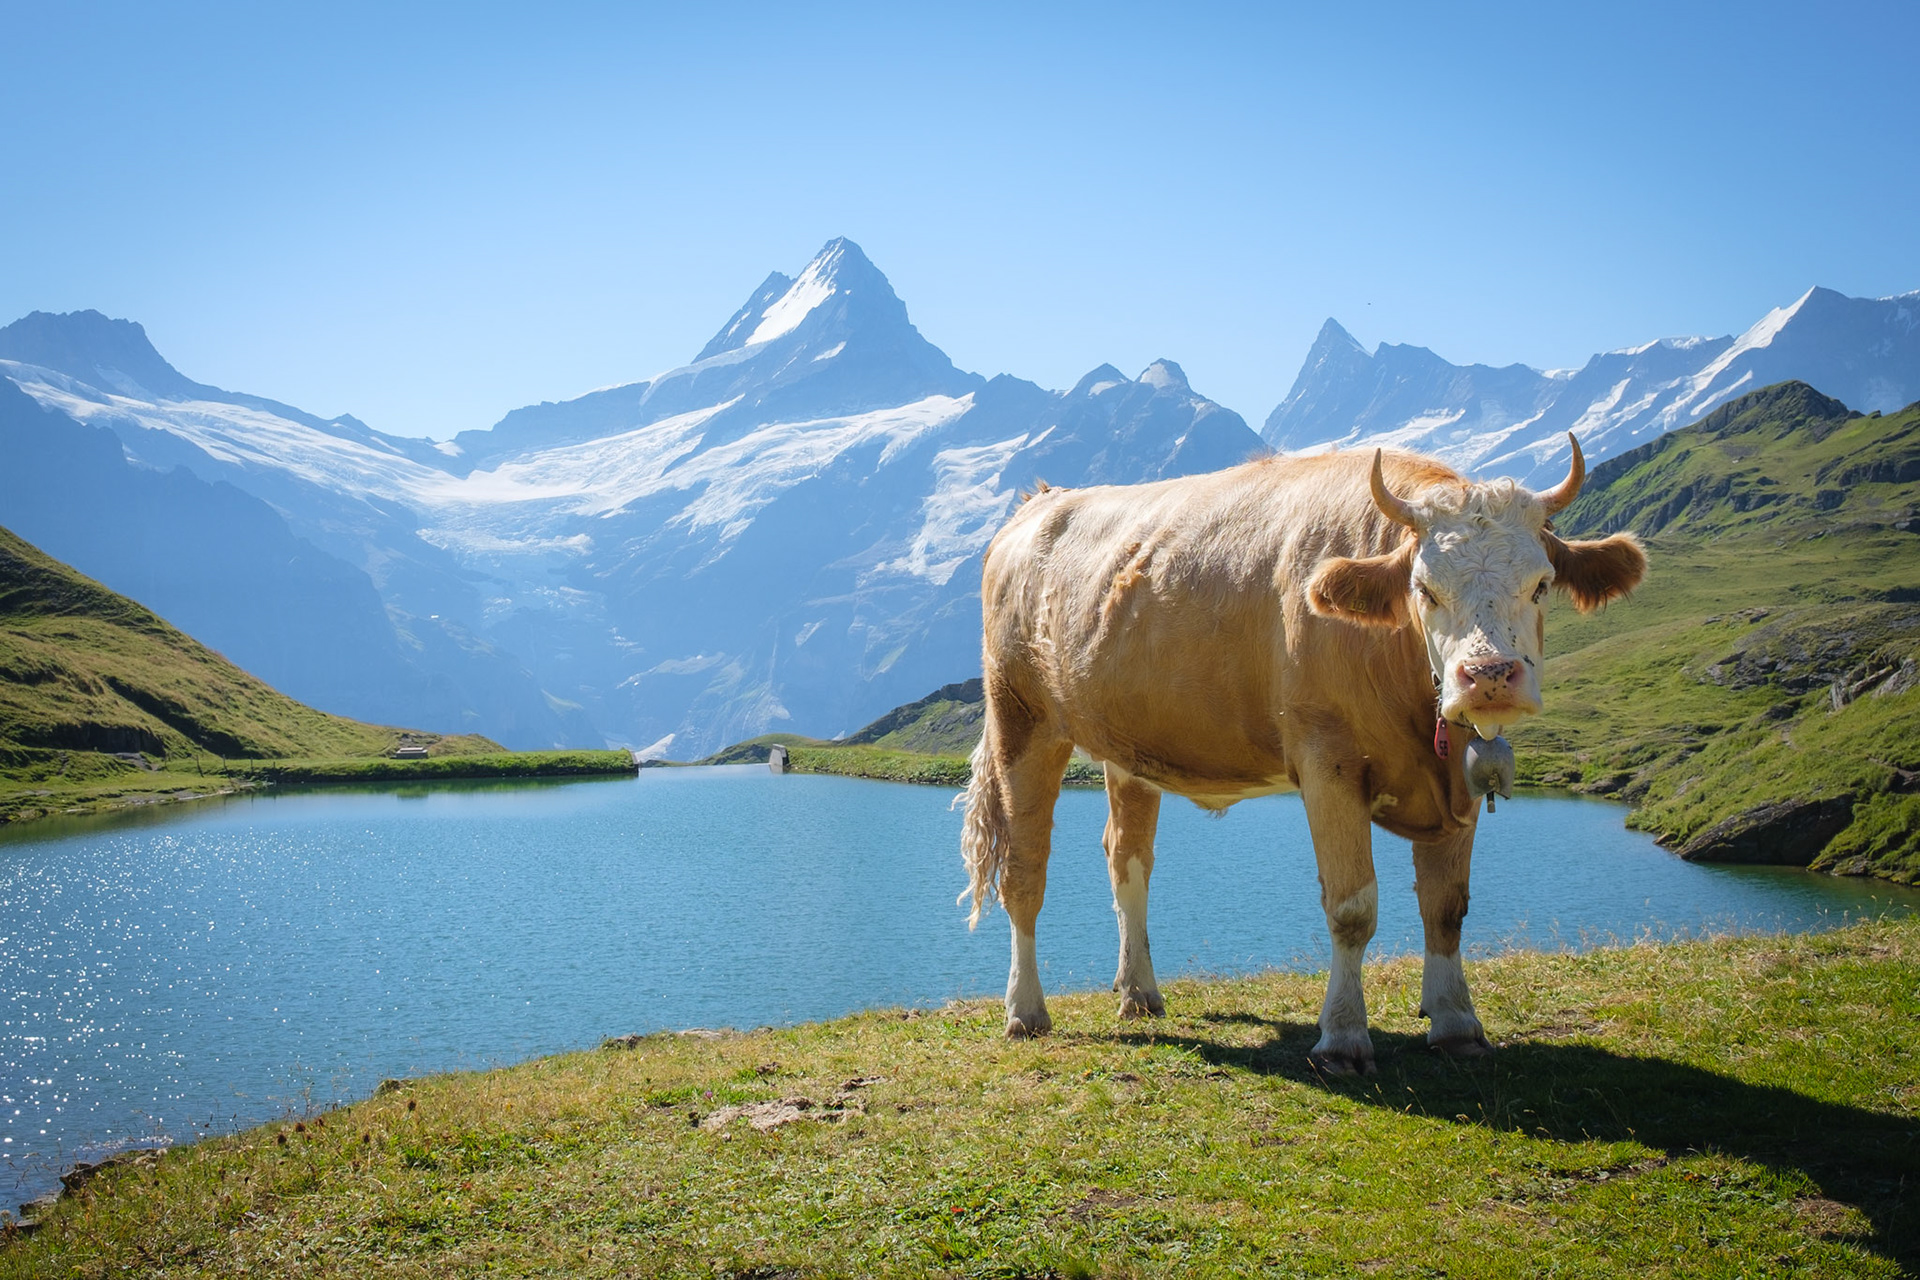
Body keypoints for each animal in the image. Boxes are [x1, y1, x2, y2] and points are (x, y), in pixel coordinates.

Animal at [958, 437, 1646, 1073]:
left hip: (1129, 746)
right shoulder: (1327, 763)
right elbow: (1352, 907)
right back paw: (1025, 1011)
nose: (1489, 676)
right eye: (1425, 589)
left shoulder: (1462, 783)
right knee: (1025, 870)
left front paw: (1456, 1023)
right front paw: (1342, 1038)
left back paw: (1140, 994)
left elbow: (1447, 905)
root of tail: (1038, 505)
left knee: (1127, 858)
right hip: (1023, 719)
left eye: (1542, 583)